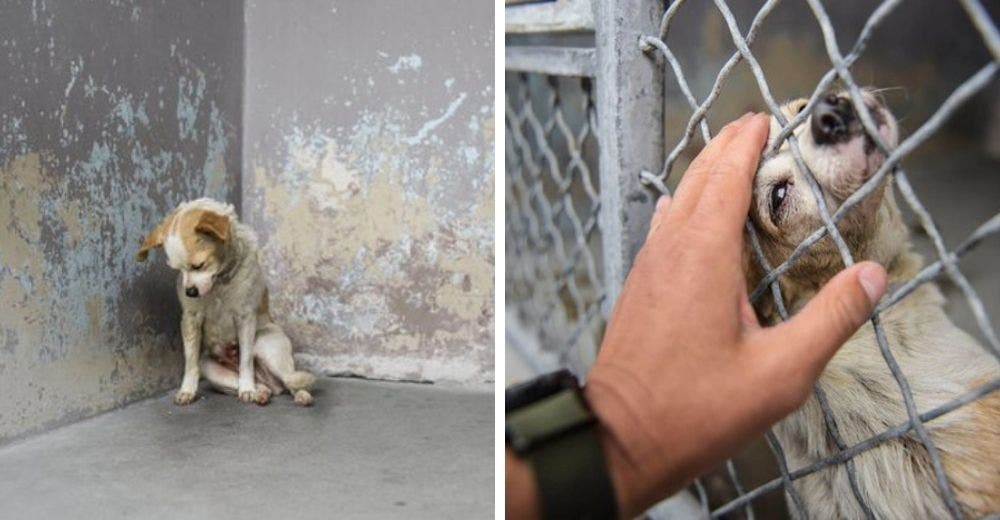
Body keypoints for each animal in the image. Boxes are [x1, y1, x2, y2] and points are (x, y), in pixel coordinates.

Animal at [137, 198, 314, 406]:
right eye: (178, 270)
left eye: (199, 265)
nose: (190, 292)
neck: (219, 282)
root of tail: (267, 379)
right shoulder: (190, 320)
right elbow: (190, 362)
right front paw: (187, 390)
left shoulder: (245, 318)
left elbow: (246, 360)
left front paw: (247, 388)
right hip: (210, 367)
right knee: (265, 387)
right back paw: (260, 392)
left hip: (266, 345)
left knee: (290, 380)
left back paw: (298, 394)